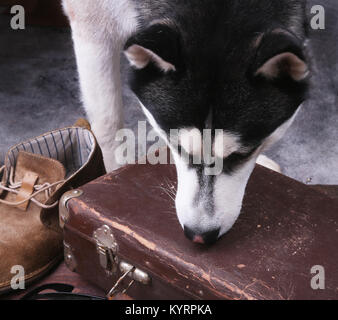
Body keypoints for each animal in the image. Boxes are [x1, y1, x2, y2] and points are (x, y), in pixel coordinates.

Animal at [61, 0, 308, 245]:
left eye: (241, 156)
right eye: (179, 148)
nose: (199, 235)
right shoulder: (92, 22)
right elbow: (108, 125)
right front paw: (114, 176)